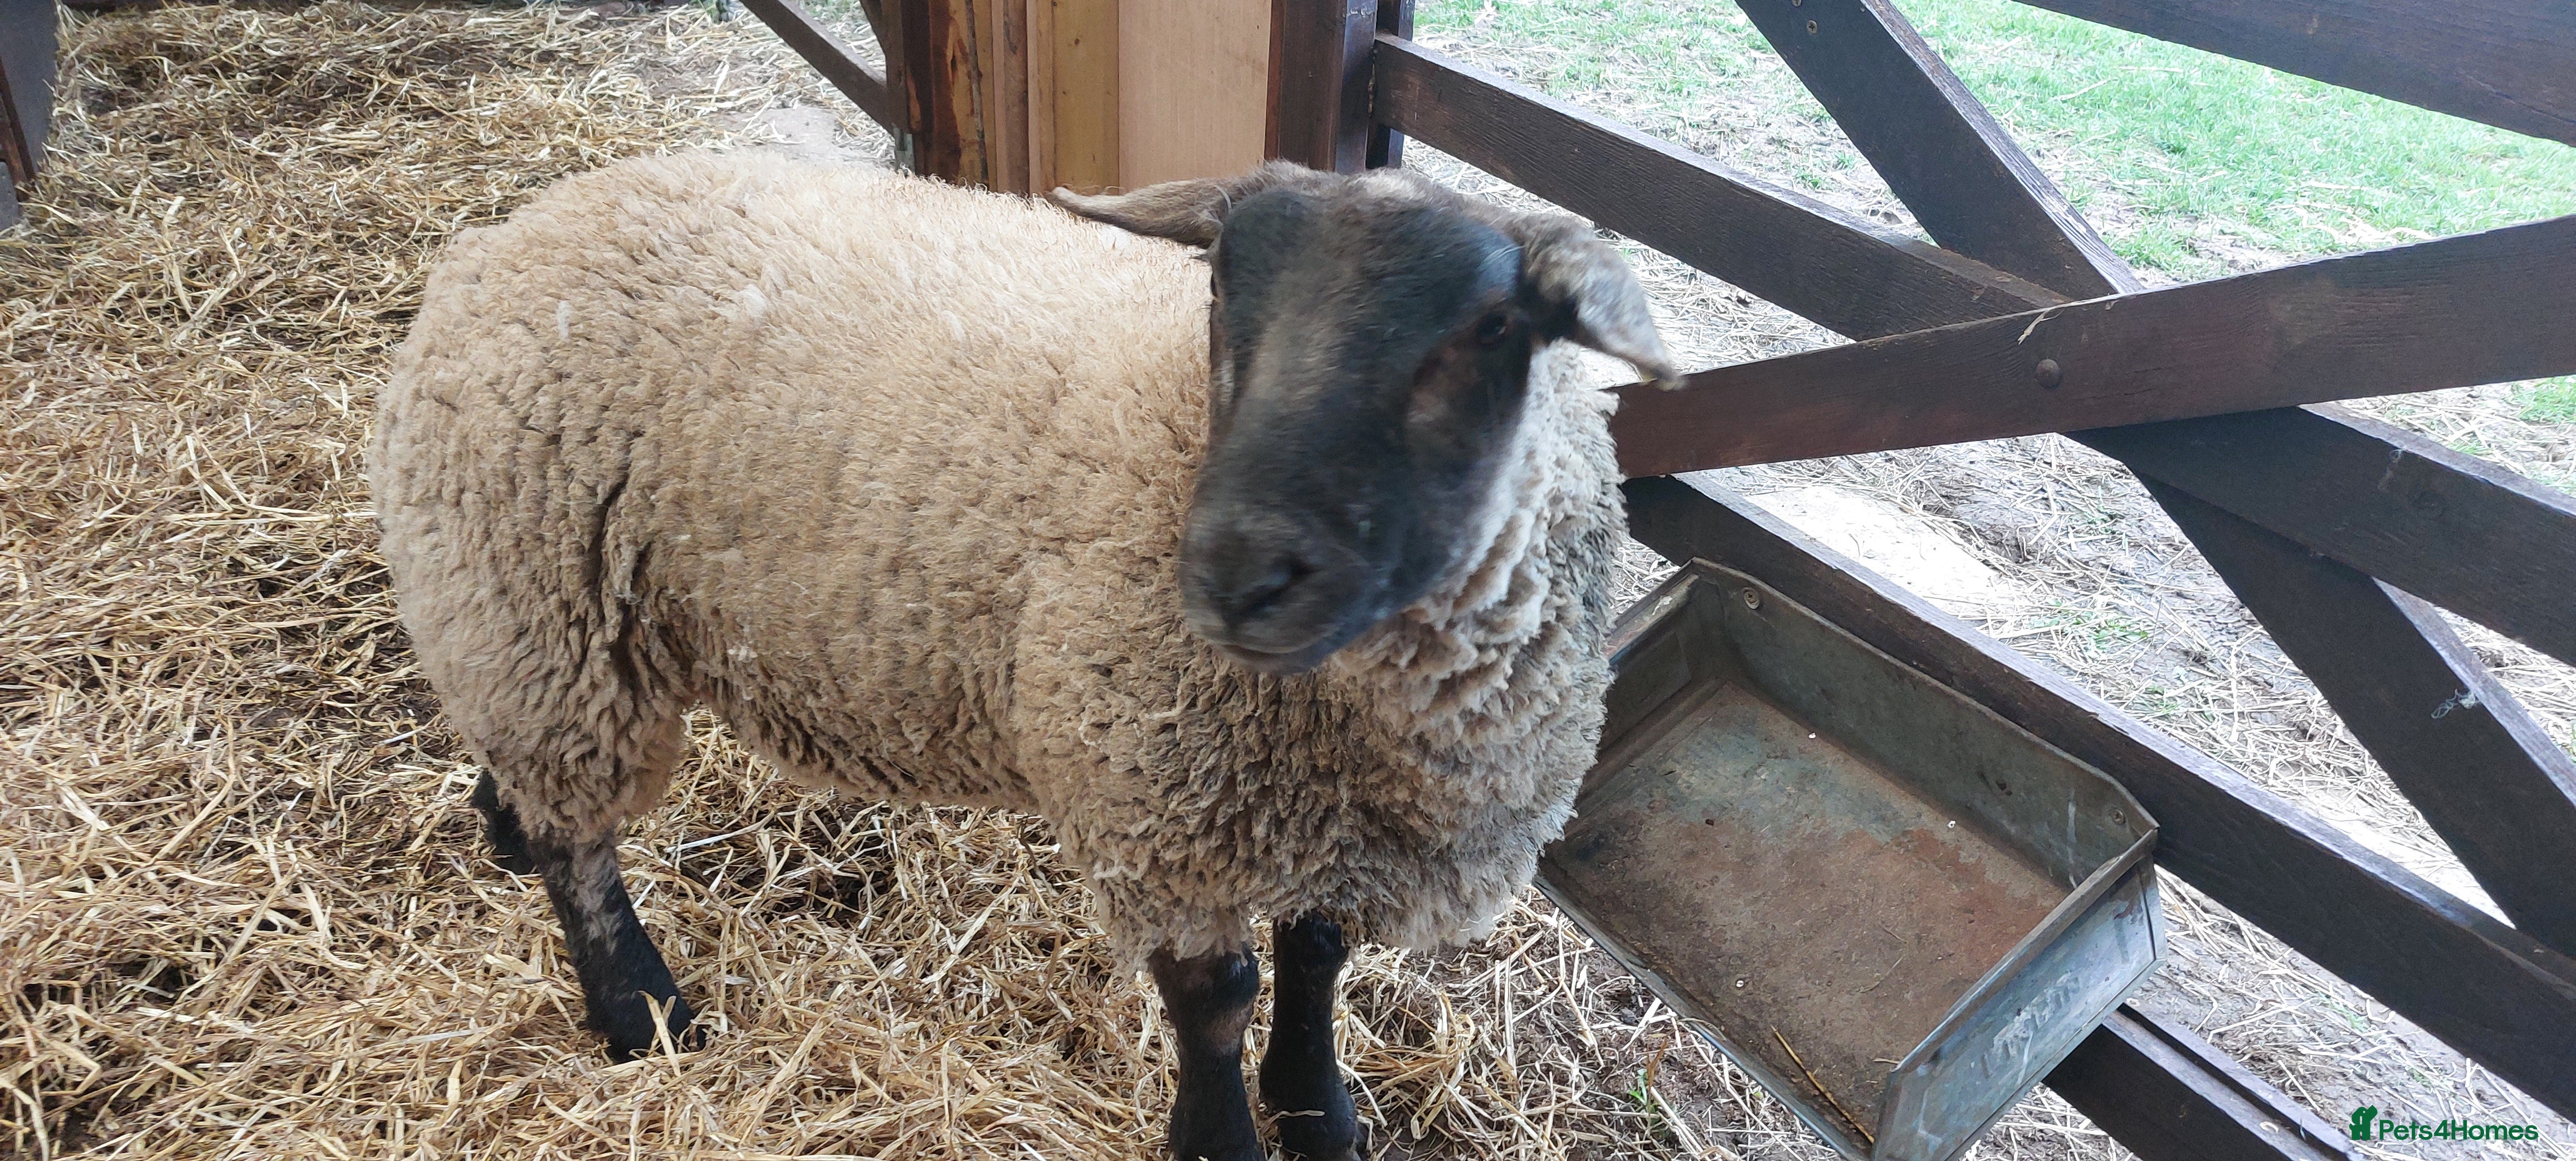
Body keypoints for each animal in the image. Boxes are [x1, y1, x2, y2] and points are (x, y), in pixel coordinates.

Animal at [369, 149, 1674, 1161]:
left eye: (1490, 328)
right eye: (1220, 288)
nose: (1234, 570)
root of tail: (505, 234)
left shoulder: (1329, 829)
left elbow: (1315, 960)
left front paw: (1318, 1110)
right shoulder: (1161, 808)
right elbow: (1216, 1005)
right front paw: (1219, 1136)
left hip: (518, 620)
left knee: (530, 784)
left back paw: (501, 828)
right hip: (532, 600)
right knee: (578, 843)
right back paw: (638, 1005)